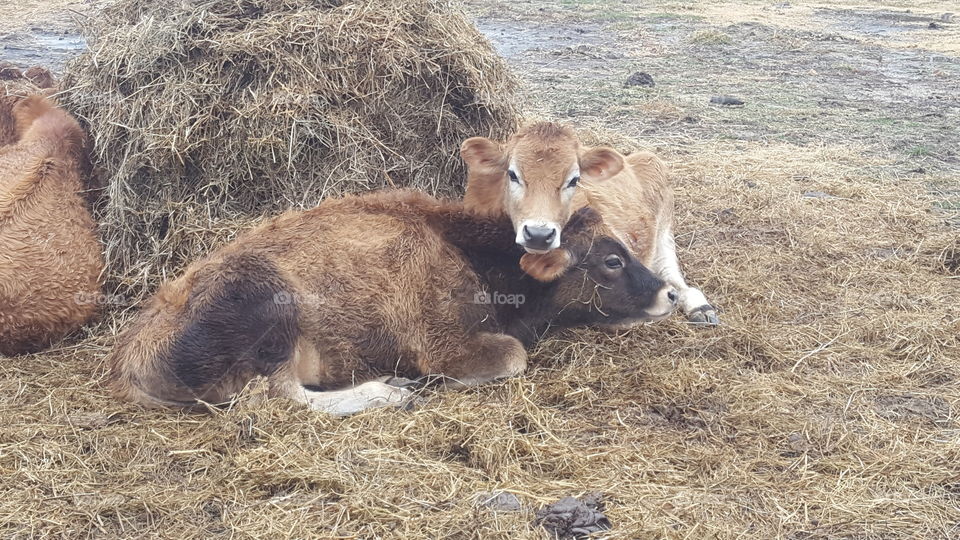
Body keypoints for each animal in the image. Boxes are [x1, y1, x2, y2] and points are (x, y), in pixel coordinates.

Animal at [106, 190, 677, 416]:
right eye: (611, 260)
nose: (668, 293)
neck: (460, 246)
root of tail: (128, 358)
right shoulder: (445, 344)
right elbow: (513, 355)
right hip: (271, 309)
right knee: (281, 396)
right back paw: (388, 392)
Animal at [460, 121, 719, 325]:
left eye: (574, 180)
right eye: (512, 174)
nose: (538, 234)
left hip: (663, 218)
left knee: (670, 269)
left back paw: (699, 307)